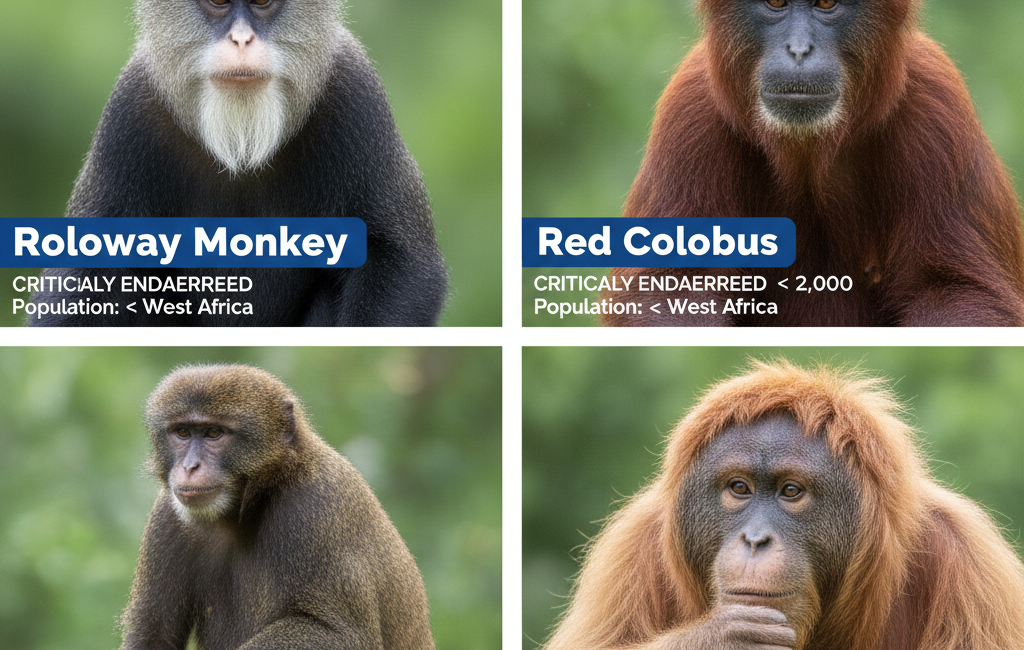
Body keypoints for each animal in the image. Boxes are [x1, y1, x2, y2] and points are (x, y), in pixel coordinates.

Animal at [28, 0, 448, 327]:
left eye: (262, 2)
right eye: (218, 1)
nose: (242, 39)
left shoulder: (357, 96)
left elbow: (401, 266)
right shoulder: (128, 112)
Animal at [121, 364, 435, 649]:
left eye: (213, 433)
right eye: (183, 432)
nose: (189, 466)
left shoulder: (315, 506)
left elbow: (341, 634)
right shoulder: (166, 515)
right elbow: (154, 635)